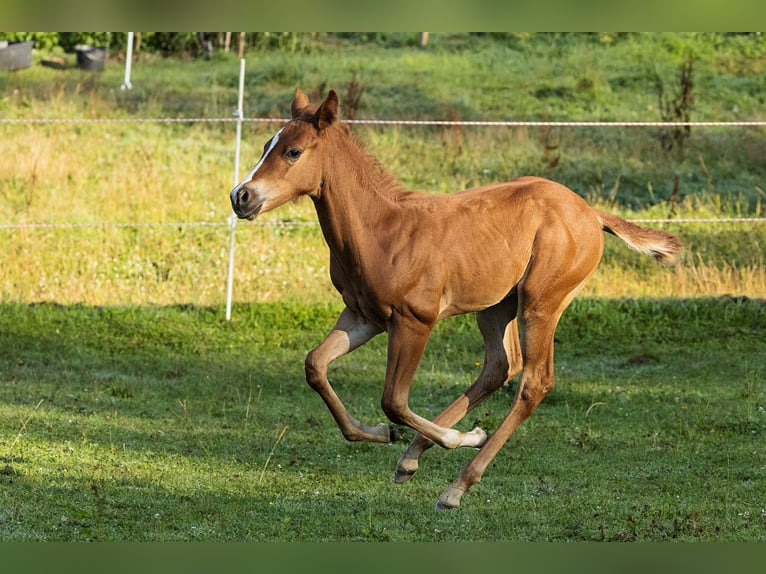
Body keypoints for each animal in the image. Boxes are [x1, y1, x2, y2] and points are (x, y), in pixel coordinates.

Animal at [230, 88, 684, 510]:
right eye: (267, 144)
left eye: (293, 151)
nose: (241, 197)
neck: (381, 229)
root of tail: (591, 213)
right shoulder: (363, 316)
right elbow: (315, 366)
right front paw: (385, 435)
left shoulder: (414, 321)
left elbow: (393, 400)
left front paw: (458, 436)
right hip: (496, 306)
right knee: (500, 367)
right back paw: (412, 459)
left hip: (540, 302)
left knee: (533, 381)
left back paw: (456, 485)